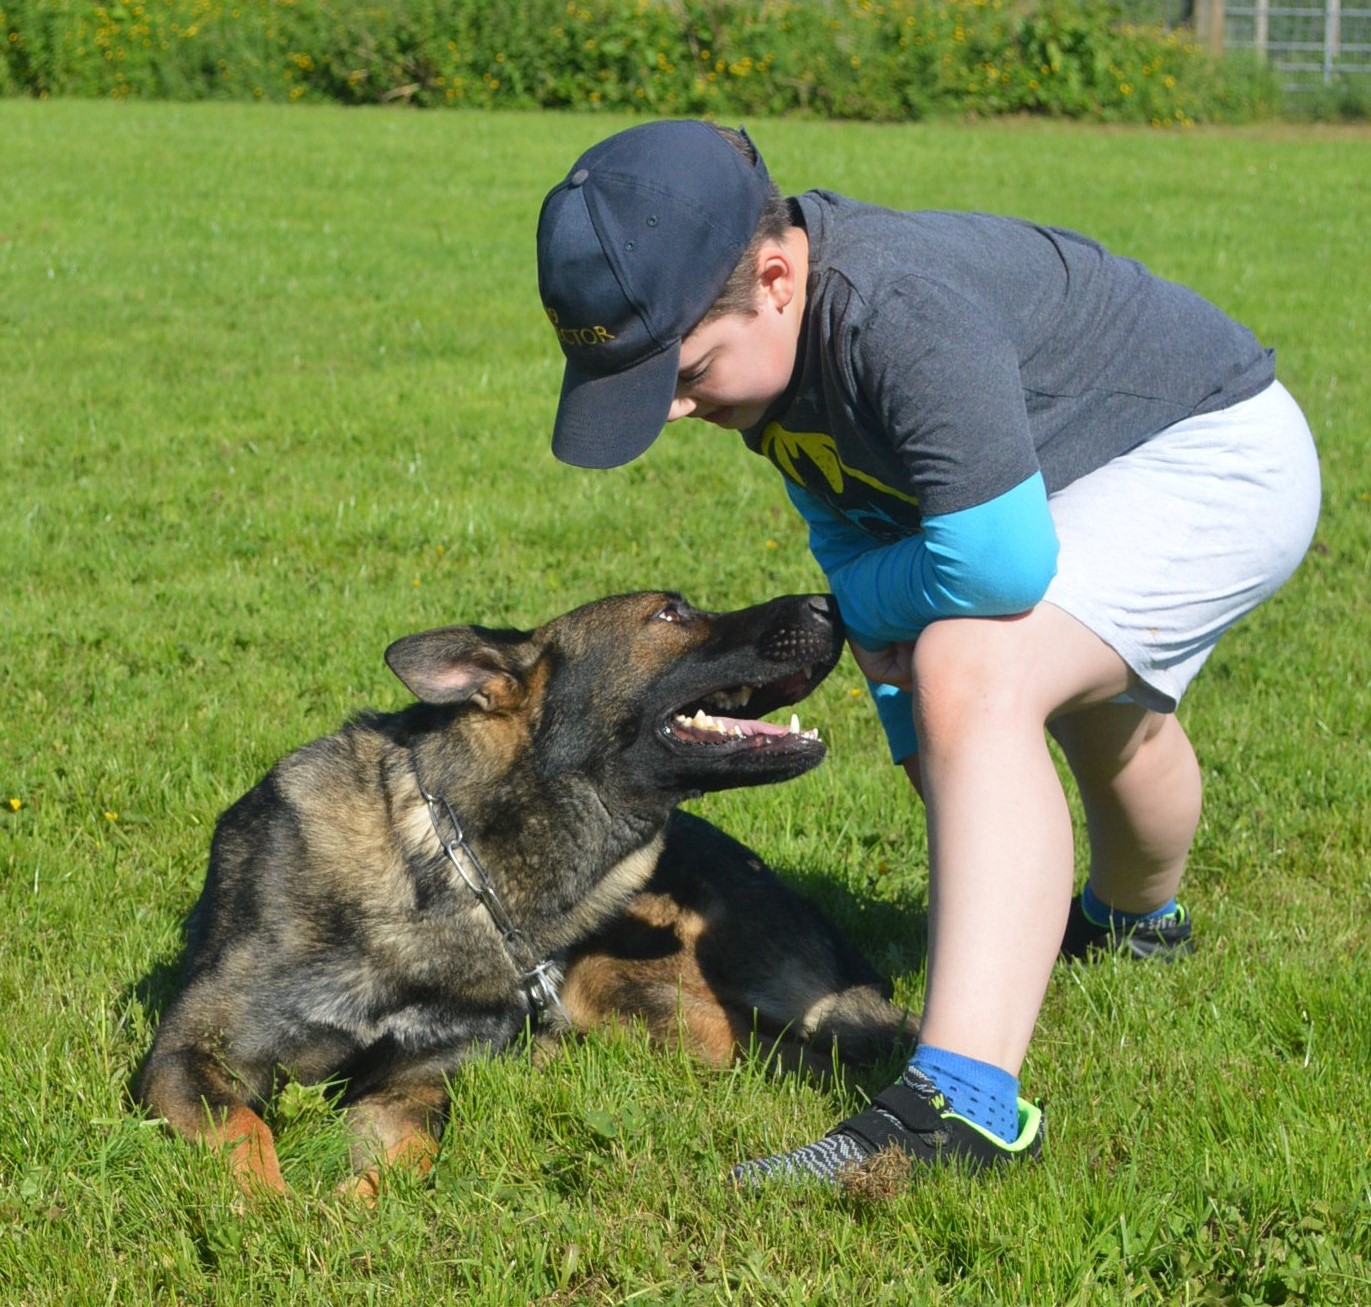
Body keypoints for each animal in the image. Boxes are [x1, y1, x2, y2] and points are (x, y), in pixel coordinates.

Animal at [136, 592, 910, 1195]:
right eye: (670, 612)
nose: (832, 603)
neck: (453, 870)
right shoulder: (187, 1057)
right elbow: (246, 1130)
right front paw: (275, 1213)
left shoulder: (412, 1085)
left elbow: (405, 1160)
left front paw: (342, 1221)